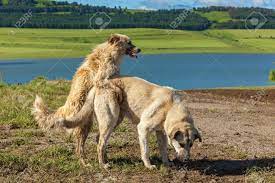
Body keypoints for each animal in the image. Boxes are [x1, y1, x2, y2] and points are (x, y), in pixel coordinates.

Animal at [33, 33, 140, 162]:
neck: (111, 53)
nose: (140, 49)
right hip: (84, 125)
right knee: (79, 147)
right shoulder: (99, 79)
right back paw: (84, 162)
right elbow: (111, 85)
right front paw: (118, 91)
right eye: (129, 42)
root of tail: (65, 109)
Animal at [58, 76, 203, 169]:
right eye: (181, 143)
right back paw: (102, 164)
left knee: (99, 139)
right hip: (110, 119)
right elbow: (145, 151)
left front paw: (167, 163)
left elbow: (163, 150)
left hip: (115, 120)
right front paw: (148, 165)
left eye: (191, 144)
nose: (186, 160)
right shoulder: (143, 129)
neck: (170, 107)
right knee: (100, 144)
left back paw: (106, 159)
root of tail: (99, 85)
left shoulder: (161, 132)